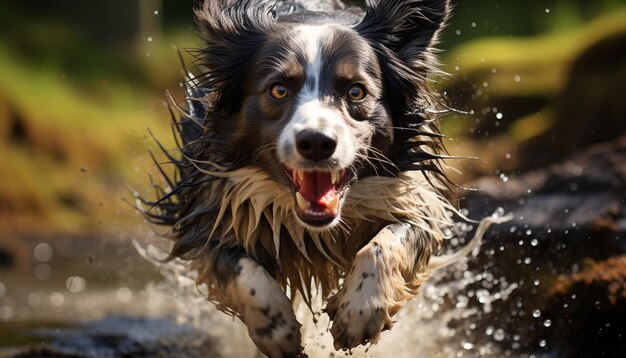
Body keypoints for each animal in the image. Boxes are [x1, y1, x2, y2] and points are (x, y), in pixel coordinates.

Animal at [139, 1, 500, 356]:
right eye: (279, 89)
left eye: (356, 92)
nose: (316, 142)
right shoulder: (212, 212)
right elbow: (239, 267)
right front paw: (275, 327)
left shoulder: (412, 198)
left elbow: (383, 245)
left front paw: (360, 312)